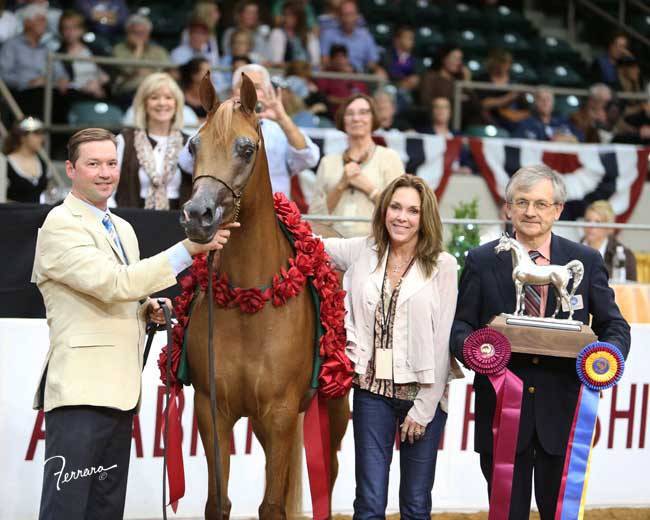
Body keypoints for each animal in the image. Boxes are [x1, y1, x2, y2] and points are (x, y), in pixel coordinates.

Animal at [179, 72, 350, 520]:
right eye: (193, 145)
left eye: (246, 148)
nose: (198, 215)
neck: (249, 301)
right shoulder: (213, 411)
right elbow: (218, 502)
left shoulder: (280, 413)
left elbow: (272, 506)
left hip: (334, 406)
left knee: (332, 469)